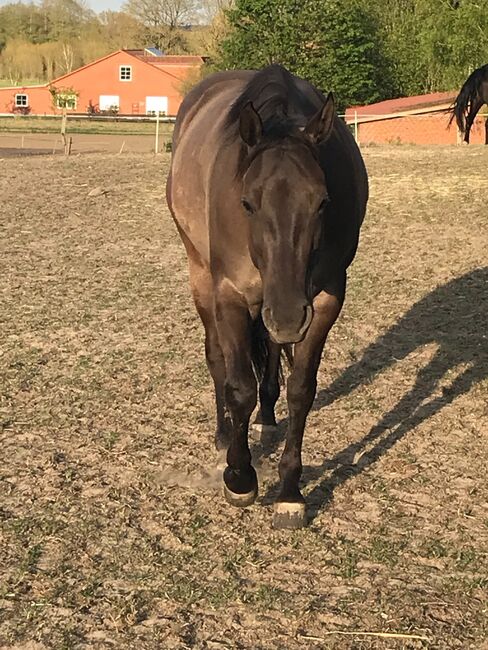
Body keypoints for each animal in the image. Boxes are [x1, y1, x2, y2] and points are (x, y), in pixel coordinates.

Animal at [166, 64, 368, 528]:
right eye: (247, 203)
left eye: (322, 202)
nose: (290, 317)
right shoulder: (229, 295)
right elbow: (239, 385)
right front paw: (240, 477)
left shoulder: (325, 301)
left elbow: (302, 390)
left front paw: (290, 490)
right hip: (201, 275)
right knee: (217, 359)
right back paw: (225, 435)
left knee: (273, 356)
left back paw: (268, 416)